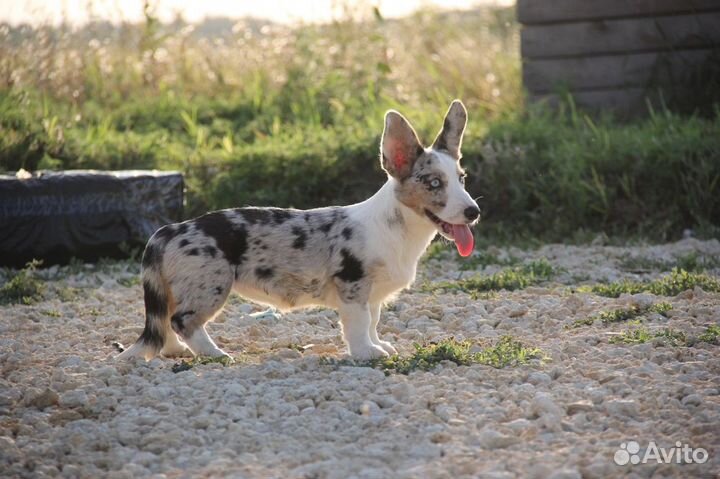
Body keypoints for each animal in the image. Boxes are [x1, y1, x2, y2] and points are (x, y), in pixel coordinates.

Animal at [116, 102, 478, 364]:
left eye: (462, 178)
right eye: (434, 183)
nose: (474, 212)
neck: (400, 232)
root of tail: (170, 230)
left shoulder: (372, 294)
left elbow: (373, 322)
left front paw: (380, 345)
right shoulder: (353, 286)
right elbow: (359, 325)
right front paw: (367, 353)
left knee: (165, 319)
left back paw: (175, 350)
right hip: (210, 286)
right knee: (183, 320)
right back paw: (215, 354)